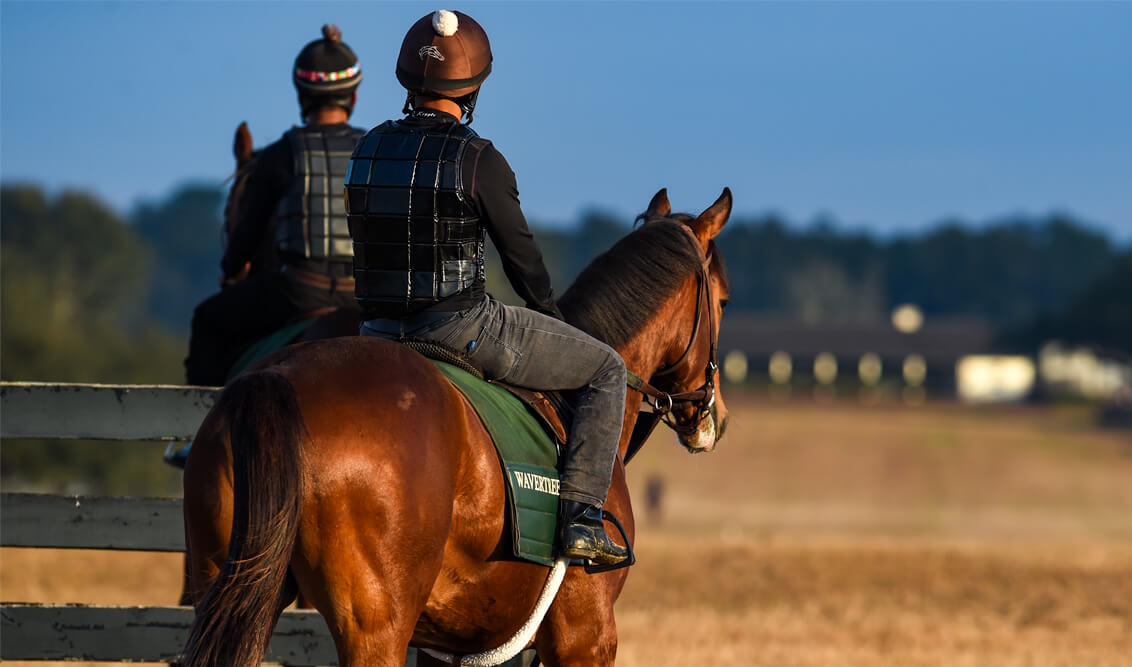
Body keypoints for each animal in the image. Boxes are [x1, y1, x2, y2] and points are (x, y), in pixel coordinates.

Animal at [179, 186, 733, 665]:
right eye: (724, 300)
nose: (716, 417)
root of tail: (279, 378)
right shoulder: (586, 637)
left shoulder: (449, 648)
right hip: (373, 629)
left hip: (227, 588)